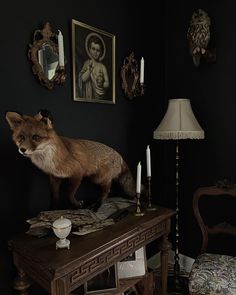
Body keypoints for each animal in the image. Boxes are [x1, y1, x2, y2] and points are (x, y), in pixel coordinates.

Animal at [5, 111, 136, 210]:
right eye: (21, 137)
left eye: (36, 137)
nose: (22, 149)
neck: (48, 162)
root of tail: (120, 155)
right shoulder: (54, 178)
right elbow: (54, 196)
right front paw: (52, 209)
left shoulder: (77, 173)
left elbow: (69, 194)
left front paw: (77, 205)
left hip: (98, 178)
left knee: (107, 190)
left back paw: (98, 204)